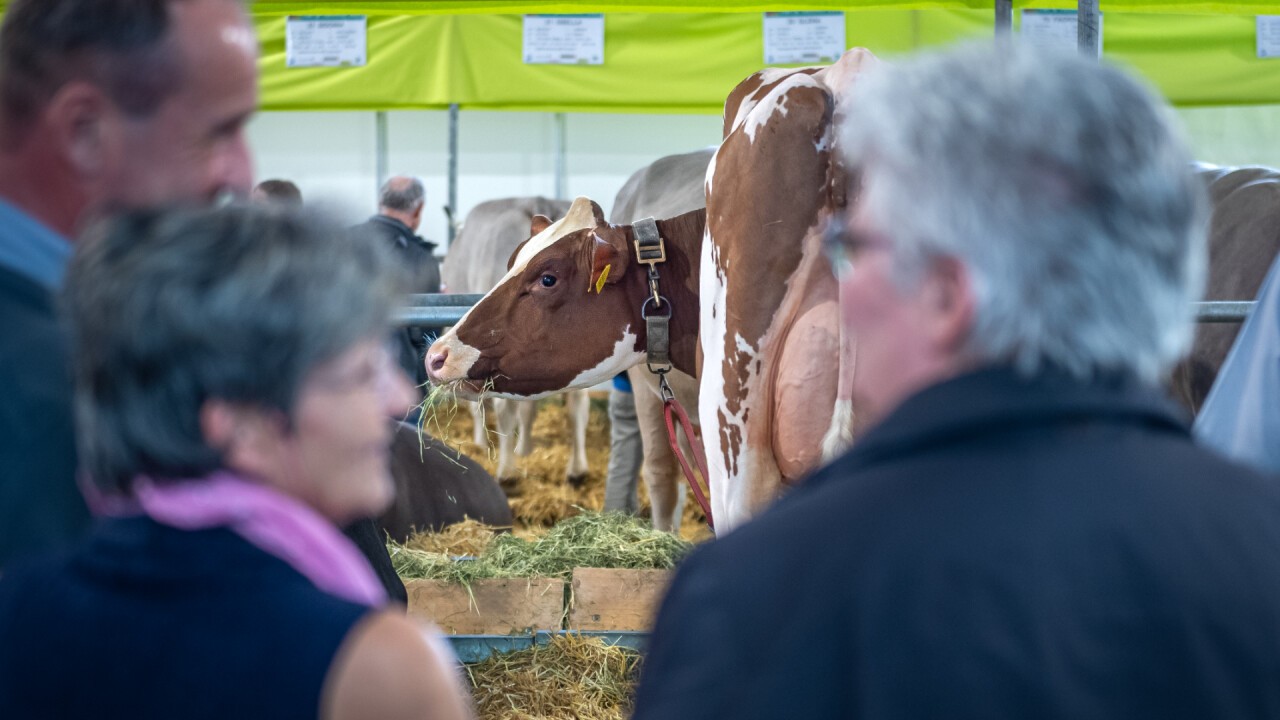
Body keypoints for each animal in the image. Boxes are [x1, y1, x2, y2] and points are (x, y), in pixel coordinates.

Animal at [442, 196, 591, 486]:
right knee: (578, 402)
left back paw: (507, 471)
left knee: (504, 406)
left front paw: (481, 443)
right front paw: (524, 448)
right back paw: (576, 469)